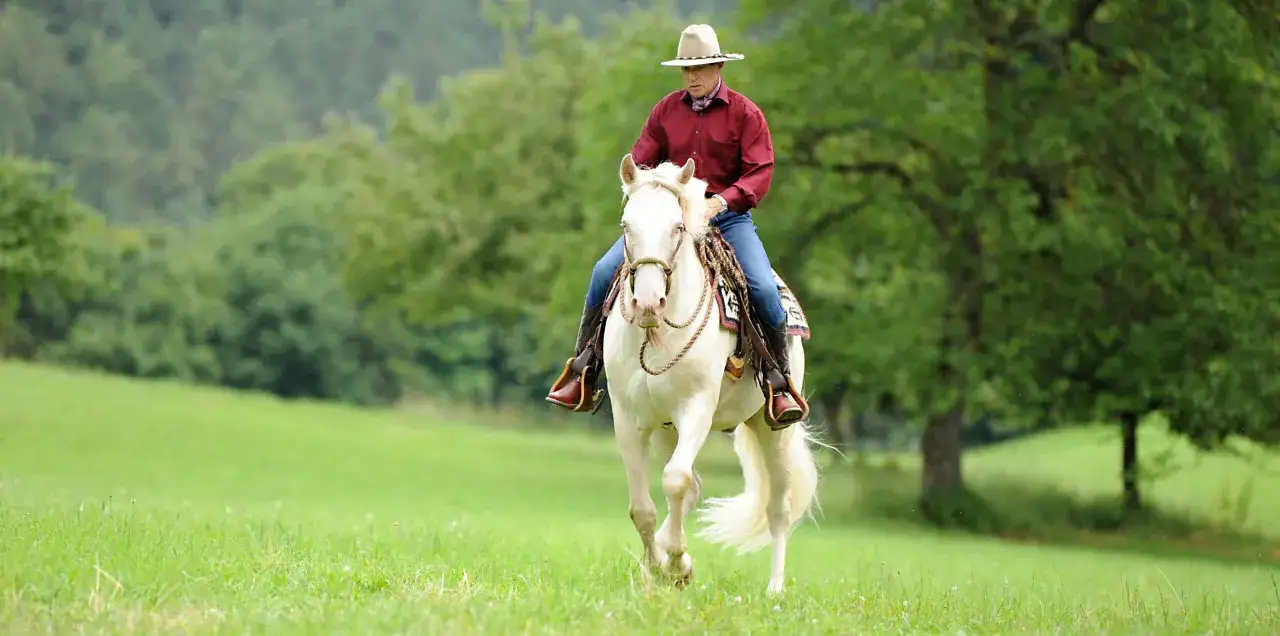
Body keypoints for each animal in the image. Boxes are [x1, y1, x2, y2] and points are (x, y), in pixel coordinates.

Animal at [600, 153, 822, 596]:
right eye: (626, 226)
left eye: (677, 226)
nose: (648, 302)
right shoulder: (629, 419)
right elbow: (643, 508)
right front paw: (660, 569)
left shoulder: (696, 410)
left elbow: (675, 481)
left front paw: (674, 562)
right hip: (666, 430)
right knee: (693, 487)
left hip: (773, 429)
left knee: (777, 508)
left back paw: (774, 589)